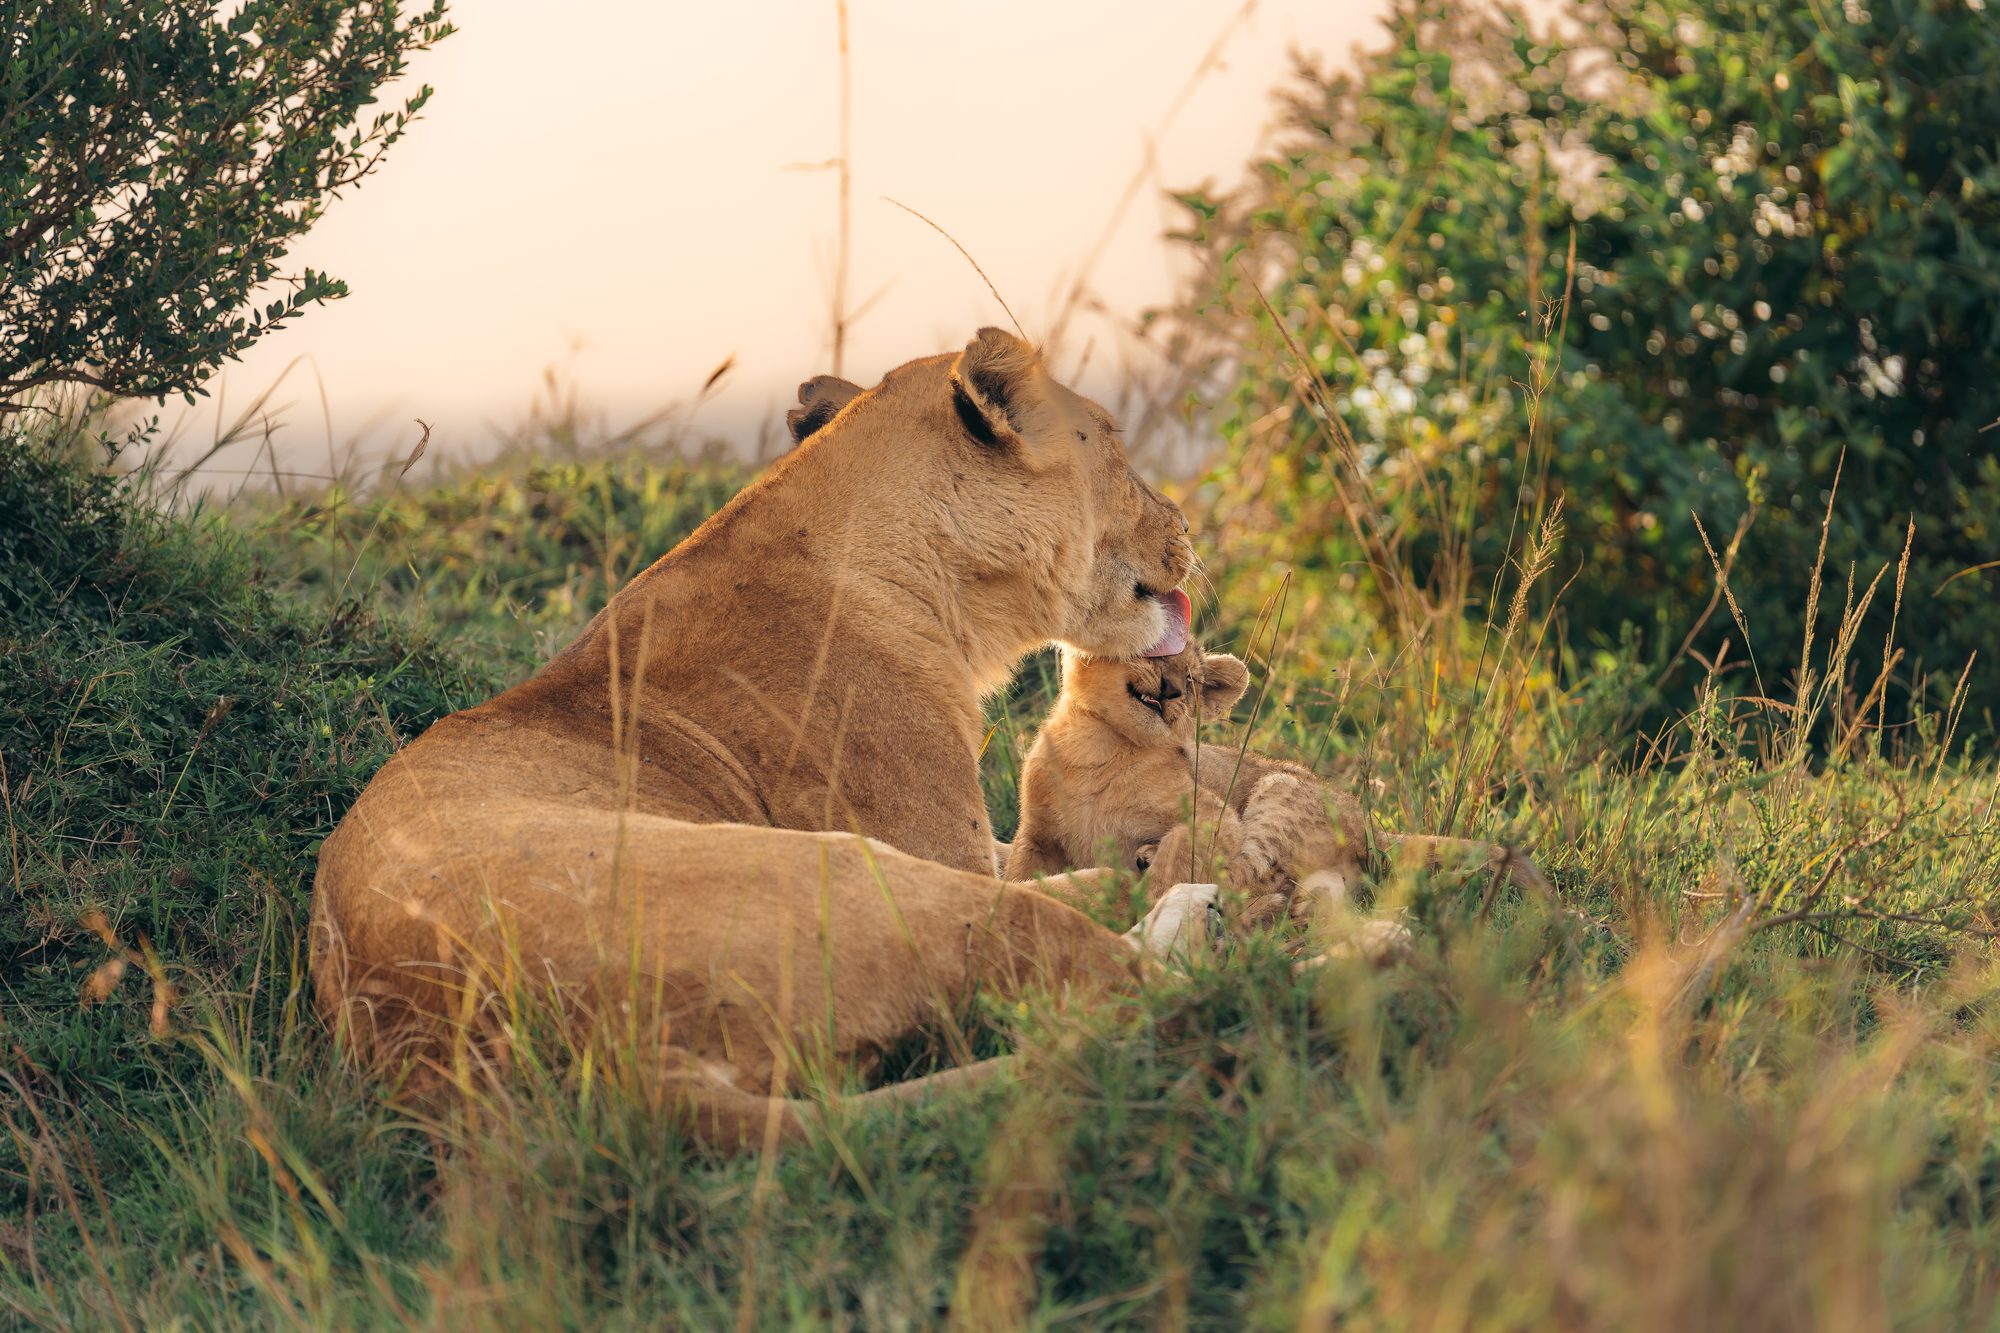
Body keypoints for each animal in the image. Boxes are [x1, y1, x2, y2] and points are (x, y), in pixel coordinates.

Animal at [310, 329, 1221, 1151]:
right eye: (1115, 439)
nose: (1187, 524)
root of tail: (616, 1068)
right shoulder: (937, 842)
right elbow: (1040, 875)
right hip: (856, 872)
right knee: (1128, 974)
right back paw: (1197, 908)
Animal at [1006, 644, 1552, 934]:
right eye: (1154, 652)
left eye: (1192, 677)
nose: (1172, 690)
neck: (1094, 746)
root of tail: (1376, 827)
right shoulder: (1035, 836)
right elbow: (1016, 874)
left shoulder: (1212, 812)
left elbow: (1181, 857)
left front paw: (1142, 892)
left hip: (1278, 788)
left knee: (1245, 879)